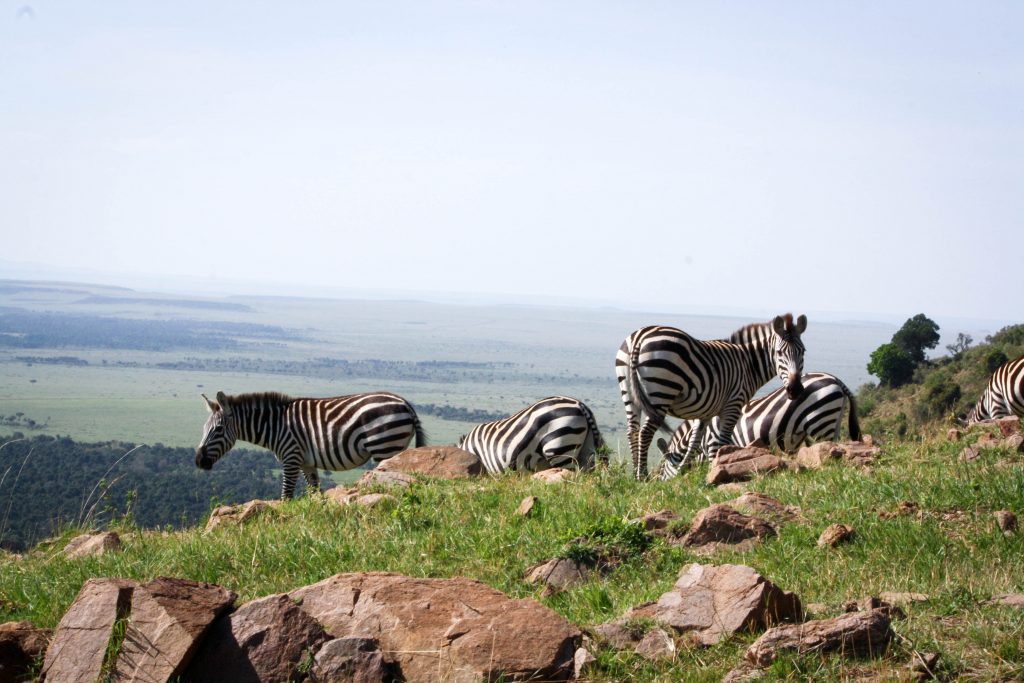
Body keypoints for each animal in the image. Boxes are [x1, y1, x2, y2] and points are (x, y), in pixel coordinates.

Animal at [195, 393, 423, 499]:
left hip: (386, 447)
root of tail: (406, 405)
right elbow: (314, 493)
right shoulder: (306, 462)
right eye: (203, 428)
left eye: (218, 430)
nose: (198, 461)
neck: (275, 425)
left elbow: (286, 496)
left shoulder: (291, 457)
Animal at [614, 315, 806, 481]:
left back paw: (634, 475)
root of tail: (640, 336)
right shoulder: (733, 405)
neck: (748, 365)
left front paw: (682, 471)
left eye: (803, 352)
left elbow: (694, 442)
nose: (795, 390)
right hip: (661, 392)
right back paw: (642, 476)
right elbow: (721, 441)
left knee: (632, 431)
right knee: (645, 432)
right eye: (779, 352)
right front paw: (718, 468)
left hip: (628, 392)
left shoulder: (705, 412)